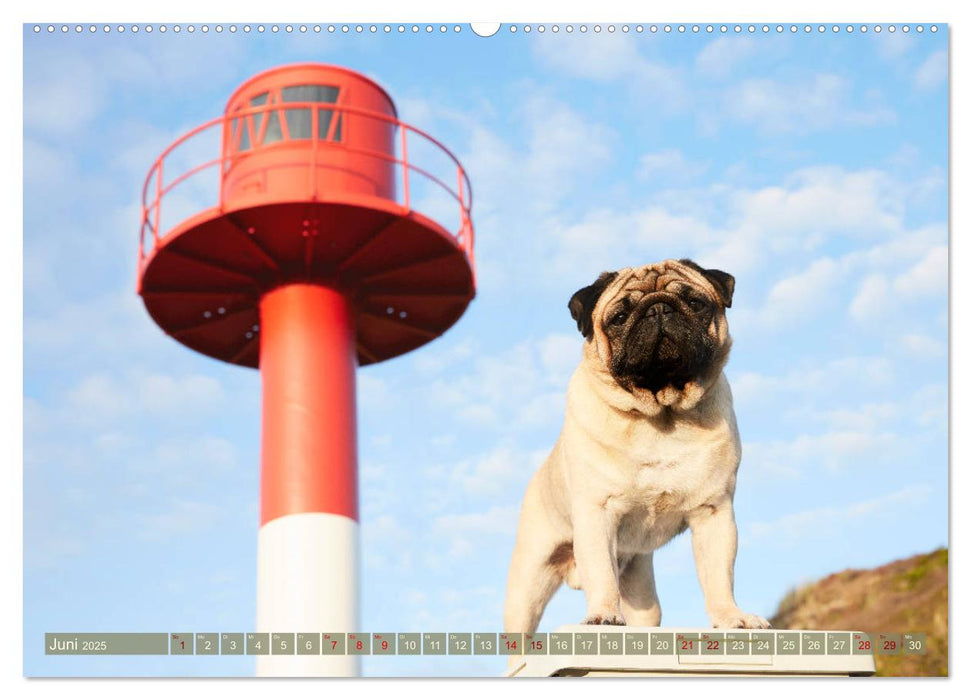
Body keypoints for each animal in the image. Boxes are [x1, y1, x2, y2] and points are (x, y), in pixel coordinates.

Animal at [504, 258, 772, 636]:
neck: (660, 416)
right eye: (618, 317)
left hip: (640, 586)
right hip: (528, 583)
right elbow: (601, 575)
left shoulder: (714, 513)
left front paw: (731, 617)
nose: (658, 308)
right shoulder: (597, 514)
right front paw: (602, 616)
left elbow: (719, 577)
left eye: (695, 303)